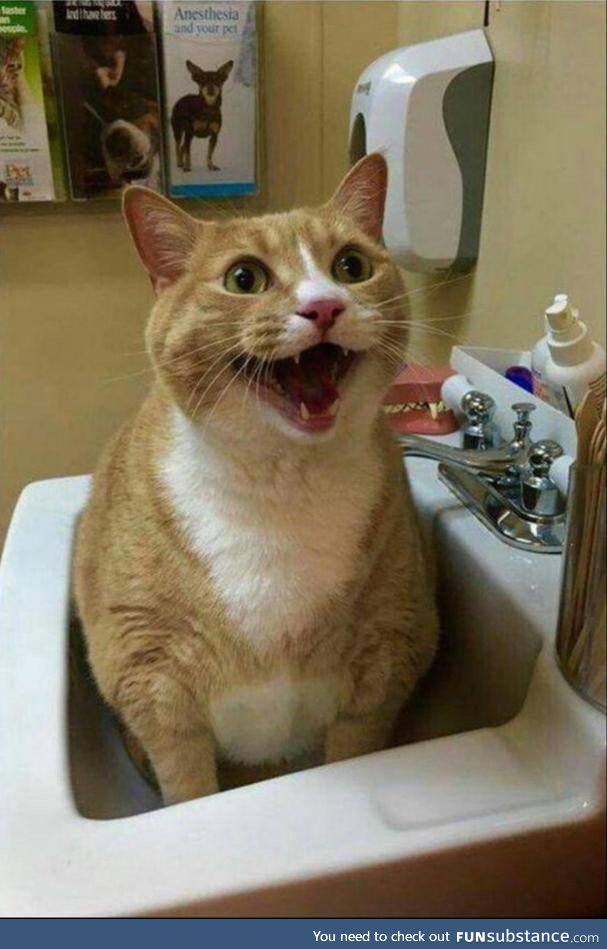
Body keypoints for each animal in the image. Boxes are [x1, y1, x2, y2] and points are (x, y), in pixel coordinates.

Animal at [73, 154, 440, 800]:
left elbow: (355, 745)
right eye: (244, 279)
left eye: (351, 266)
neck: (283, 481)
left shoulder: (385, 662)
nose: (324, 306)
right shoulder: (150, 678)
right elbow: (186, 787)